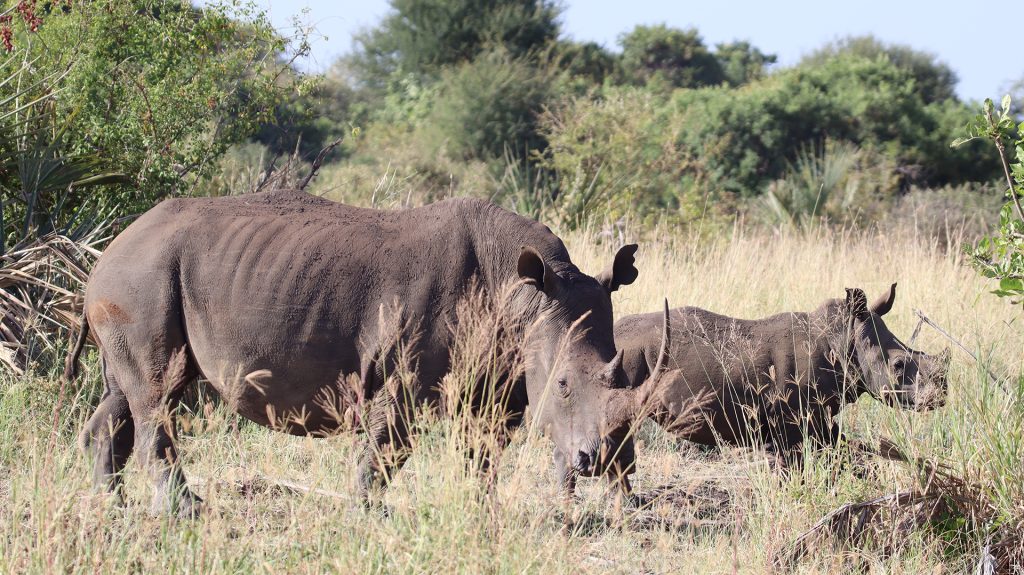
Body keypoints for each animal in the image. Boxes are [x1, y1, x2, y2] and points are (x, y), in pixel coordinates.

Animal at [66, 189, 655, 515]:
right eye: (562, 385)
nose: (595, 460)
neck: (528, 294)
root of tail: (108, 250)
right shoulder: (406, 374)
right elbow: (388, 445)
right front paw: (368, 512)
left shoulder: (498, 375)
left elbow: (483, 451)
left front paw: (481, 512)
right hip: (141, 278)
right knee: (156, 393)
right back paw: (182, 513)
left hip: (142, 280)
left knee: (130, 391)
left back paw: (110, 505)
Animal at [610, 284, 946, 454]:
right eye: (898, 366)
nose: (939, 398)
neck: (843, 339)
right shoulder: (796, 420)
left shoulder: (817, 417)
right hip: (628, 356)